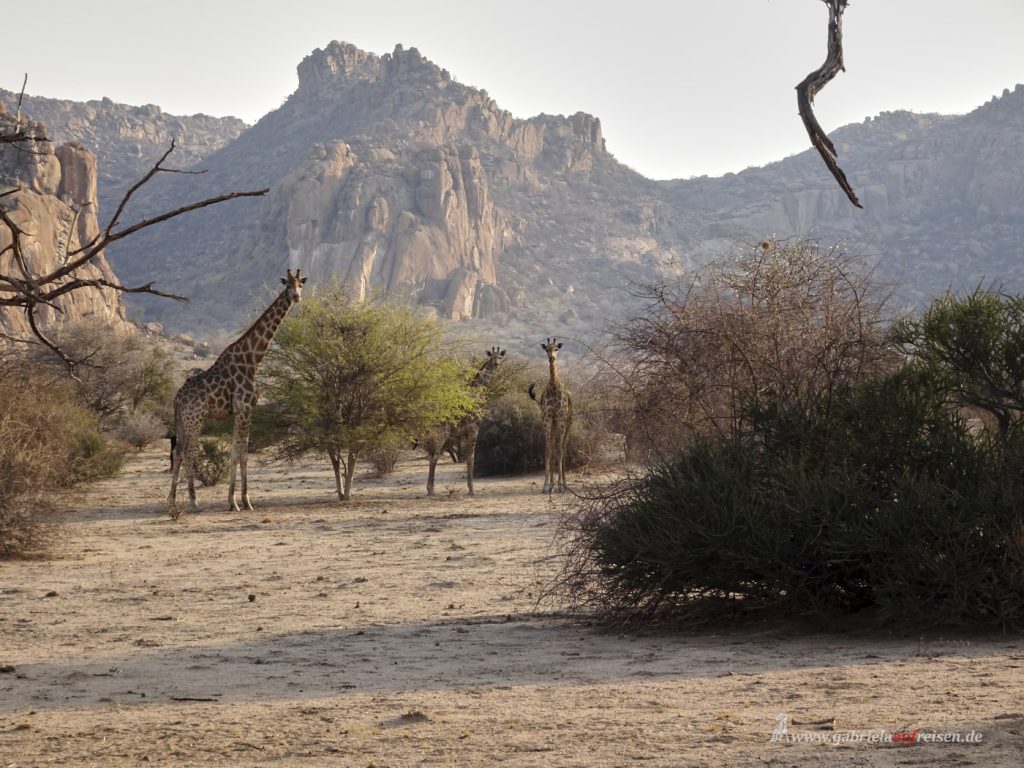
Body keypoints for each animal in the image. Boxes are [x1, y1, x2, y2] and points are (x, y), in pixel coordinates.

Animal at [164, 270, 303, 518]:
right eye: (287, 285)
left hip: (181, 421)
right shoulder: (244, 409)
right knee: (189, 453)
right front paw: (240, 501)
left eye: (300, 284)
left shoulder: (242, 412)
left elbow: (240, 452)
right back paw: (194, 502)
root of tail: (177, 399)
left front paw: (238, 501)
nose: (296, 297)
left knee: (178, 453)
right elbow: (240, 454)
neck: (252, 360)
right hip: (195, 420)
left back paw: (171, 502)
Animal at [421, 348, 505, 499]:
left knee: (432, 456)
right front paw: (472, 490)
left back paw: (430, 489)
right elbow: (471, 458)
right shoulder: (473, 430)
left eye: (500, 357)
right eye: (491, 358)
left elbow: (468, 458)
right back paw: (431, 490)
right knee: (434, 457)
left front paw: (470, 488)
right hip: (442, 434)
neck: (476, 397)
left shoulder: (465, 434)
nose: (496, 364)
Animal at [536, 339, 577, 495]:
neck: (554, 387)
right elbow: (548, 451)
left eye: (556, 349)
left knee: (563, 448)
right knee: (554, 448)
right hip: (554, 424)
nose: (552, 358)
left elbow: (559, 451)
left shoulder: (560, 418)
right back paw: (553, 484)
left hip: (568, 422)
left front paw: (560, 486)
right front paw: (546, 485)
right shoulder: (547, 419)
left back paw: (564, 484)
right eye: (546, 349)